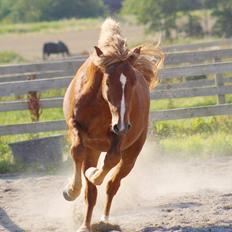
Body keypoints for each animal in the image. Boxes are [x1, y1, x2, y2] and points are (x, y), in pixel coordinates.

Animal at [62, 18, 163, 232]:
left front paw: (93, 174)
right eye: (108, 82)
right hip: (93, 149)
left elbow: (110, 160)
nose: (122, 125)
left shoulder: (119, 134)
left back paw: (104, 220)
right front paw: (70, 190)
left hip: (131, 154)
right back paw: (85, 224)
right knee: (91, 194)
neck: (99, 103)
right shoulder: (75, 126)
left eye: (133, 82)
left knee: (112, 184)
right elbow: (76, 151)